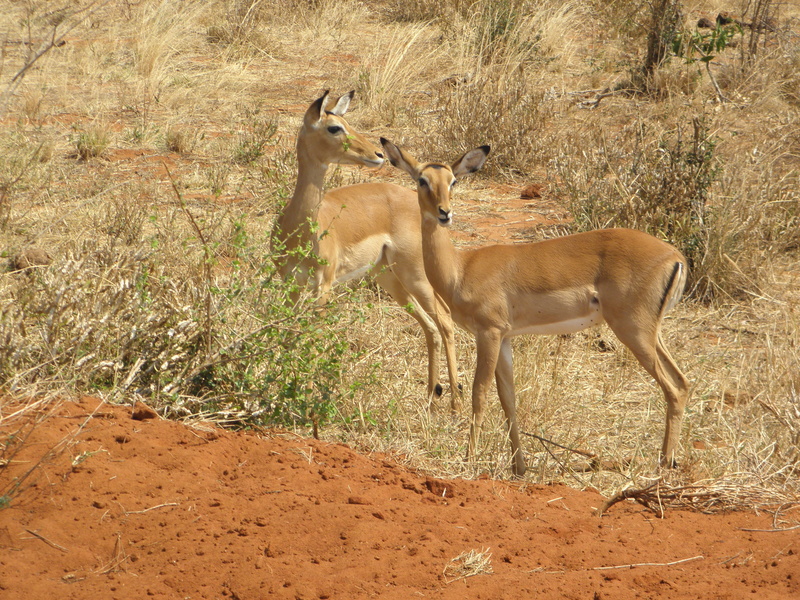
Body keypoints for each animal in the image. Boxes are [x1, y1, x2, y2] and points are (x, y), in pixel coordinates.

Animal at [270, 91, 460, 408]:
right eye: (335, 127)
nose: (377, 154)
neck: (301, 226)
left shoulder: (324, 285)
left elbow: (314, 335)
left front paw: (306, 397)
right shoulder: (290, 284)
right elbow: (290, 335)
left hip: (415, 275)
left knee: (444, 320)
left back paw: (455, 402)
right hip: (389, 278)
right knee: (430, 327)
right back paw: (431, 397)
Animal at [380, 137, 690, 477]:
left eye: (453, 181)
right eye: (422, 180)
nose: (444, 213)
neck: (461, 269)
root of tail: (676, 257)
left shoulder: (488, 333)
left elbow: (479, 394)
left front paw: (469, 460)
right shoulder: (504, 338)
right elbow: (509, 399)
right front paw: (519, 466)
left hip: (633, 330)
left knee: (673, 389)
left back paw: (664, 465)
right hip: (649, 332)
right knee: (683, 383)